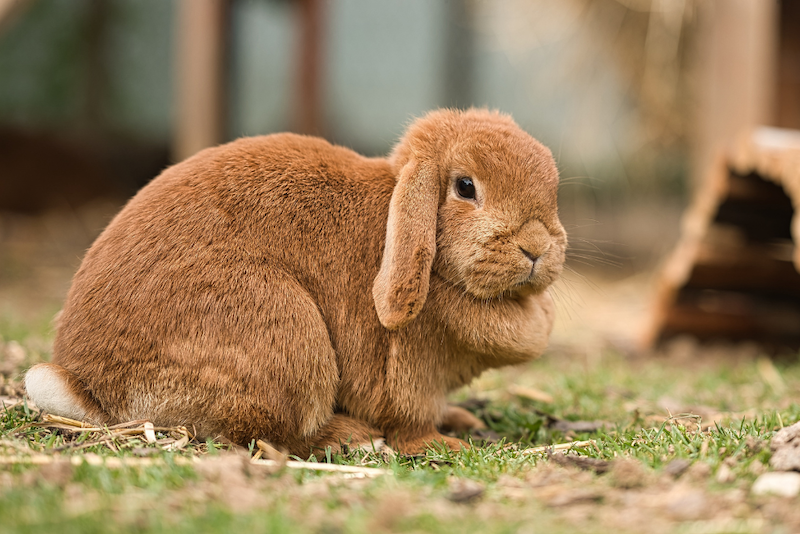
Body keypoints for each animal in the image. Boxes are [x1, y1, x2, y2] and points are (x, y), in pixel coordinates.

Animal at [25, 108, 566, 457]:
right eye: (465, 187)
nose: (536, 247)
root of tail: (87, 387)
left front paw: (461, 421)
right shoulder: (408, 374)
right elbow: (409, 420)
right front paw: (440, 444)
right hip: (287, 339)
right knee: (271, 436)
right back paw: (351, 437)